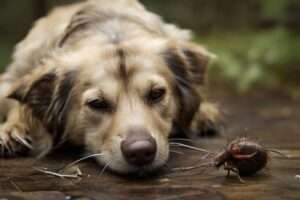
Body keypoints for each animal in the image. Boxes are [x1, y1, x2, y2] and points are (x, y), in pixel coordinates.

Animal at [0, 0, 220, 173]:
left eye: (157, 93)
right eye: (97, 103)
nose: (141, 152)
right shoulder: (11, 81)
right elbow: (17, 105)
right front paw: (11, 131)